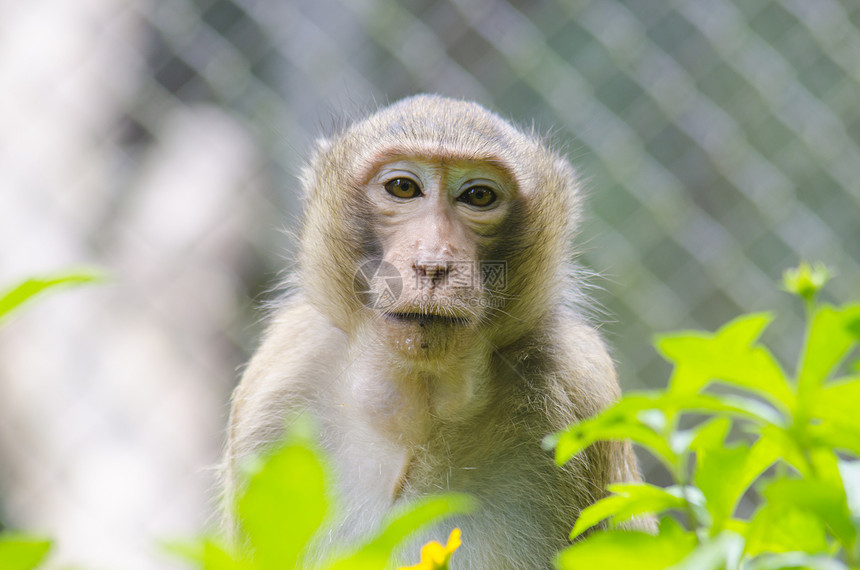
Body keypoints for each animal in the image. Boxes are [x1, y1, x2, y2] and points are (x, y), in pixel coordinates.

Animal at [225, 95, 648, 564]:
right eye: (403, 188)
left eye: (478, 196)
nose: (432, 264)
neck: (417, 412)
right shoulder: (279, 381)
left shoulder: (580, 386)